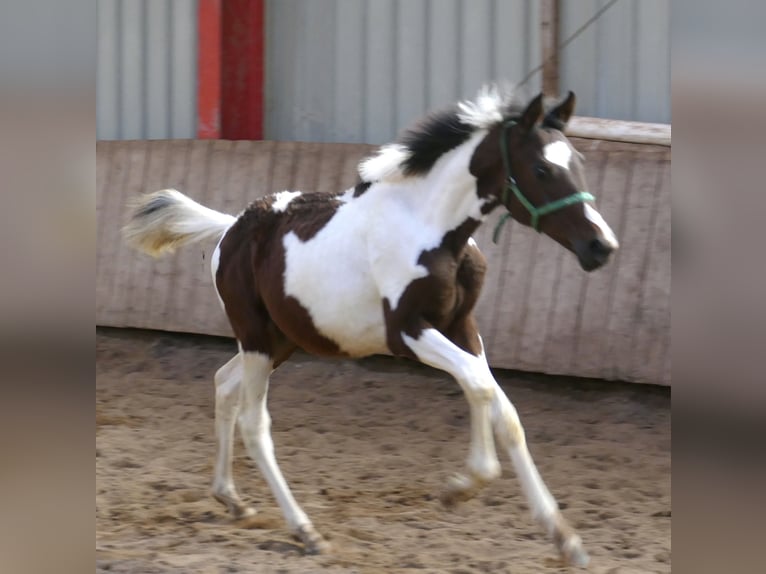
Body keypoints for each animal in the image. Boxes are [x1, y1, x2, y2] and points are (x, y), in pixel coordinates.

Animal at [124, 88, 616, 568]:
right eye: (541, 168)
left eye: (578, 163)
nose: (602, 246)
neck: (433, 230)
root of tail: (230, 229)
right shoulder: (407, 332)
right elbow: (478, 386)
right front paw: (463, 487)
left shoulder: (461, 326)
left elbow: (501, 407)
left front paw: (565, 539)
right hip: (257, 339)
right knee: (253, 421)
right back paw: (306, 531)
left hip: (280, 341)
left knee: (224, 384)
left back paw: (232, 499)